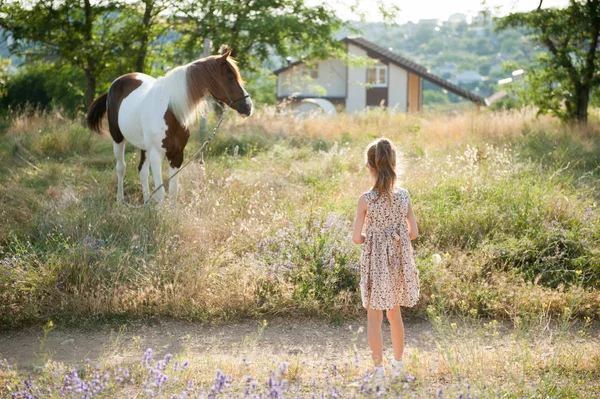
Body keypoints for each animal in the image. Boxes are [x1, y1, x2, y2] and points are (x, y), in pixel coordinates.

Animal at [86, 50, 251, 205]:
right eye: (230, 77)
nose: (249, 107)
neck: (170, 110)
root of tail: (117, 82)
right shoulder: (156, 154)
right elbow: (161, 192)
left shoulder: (177, 155)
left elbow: (173, 191)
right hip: (118, 138)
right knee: (121, 167)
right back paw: (120, 199)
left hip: (144, 147)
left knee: (142, 171)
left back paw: (146, 204)